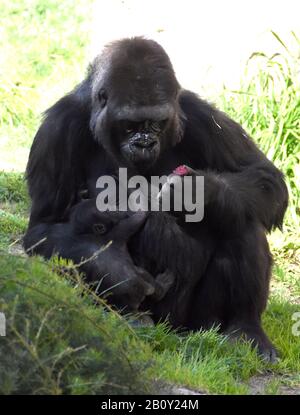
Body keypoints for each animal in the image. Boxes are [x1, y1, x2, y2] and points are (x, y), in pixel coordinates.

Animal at [23, 37, 288, 362]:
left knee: (240, 218)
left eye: (157, 123)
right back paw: (131, 316)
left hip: (196, 322)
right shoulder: (58, 127)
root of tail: (171, 332)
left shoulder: (198, 113)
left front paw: (198, 192)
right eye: (129, 124)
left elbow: (264, 177)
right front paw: (117, 270)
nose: (145, 143)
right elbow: (44, 227)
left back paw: (245, 328)